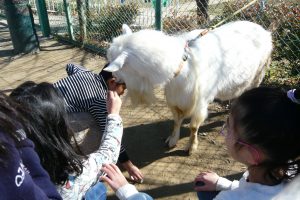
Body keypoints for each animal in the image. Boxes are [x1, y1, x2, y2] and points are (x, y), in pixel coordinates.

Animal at [105, 20, 272, 155]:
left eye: (116, 65)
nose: (111, 77)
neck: (181, 65)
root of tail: (264, 30)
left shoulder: (200, 102)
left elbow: (193, 127)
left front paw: (191, 147)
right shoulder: (174, 99)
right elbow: (176, 121)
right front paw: (172, 140)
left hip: (259, 72)